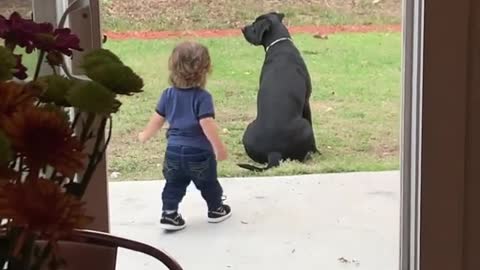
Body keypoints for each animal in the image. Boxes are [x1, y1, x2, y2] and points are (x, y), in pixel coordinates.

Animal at [237, 11, 318, 172]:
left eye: (254, 25)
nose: (242, 28)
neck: (280, 44)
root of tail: (274, 153)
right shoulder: (306, 101)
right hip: (305, 127)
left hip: (247, 131)